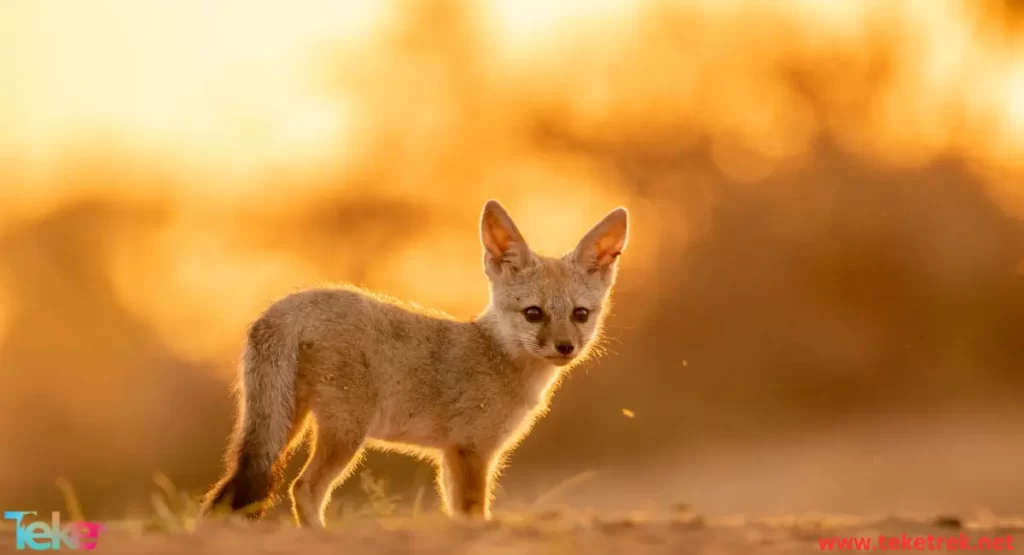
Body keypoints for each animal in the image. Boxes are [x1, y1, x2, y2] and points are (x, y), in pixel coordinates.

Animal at [202, 198, 626, 528]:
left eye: (580, 314)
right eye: (534, 314)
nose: (565, 347)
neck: (495, 354)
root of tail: (288, 304)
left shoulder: (452, 456)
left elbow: (458, 514)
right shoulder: (473, 451)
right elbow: (474, 514)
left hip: (286, 427)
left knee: (225, 492)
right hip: (344, 434)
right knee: (303, 488)